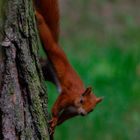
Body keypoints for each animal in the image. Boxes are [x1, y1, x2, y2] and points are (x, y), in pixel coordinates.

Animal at [33, 0, 102, 136]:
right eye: (81, 101)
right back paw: (37, 16)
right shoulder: (67, 95)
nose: (83, 114)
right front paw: (54, 118)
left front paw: (55, 125)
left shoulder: (71, 112)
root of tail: (58, 45)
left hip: (47, 70)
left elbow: (63, 117)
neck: (75, 104)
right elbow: (56, 107)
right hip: (52, 48)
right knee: (46, 35)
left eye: (92, 109)